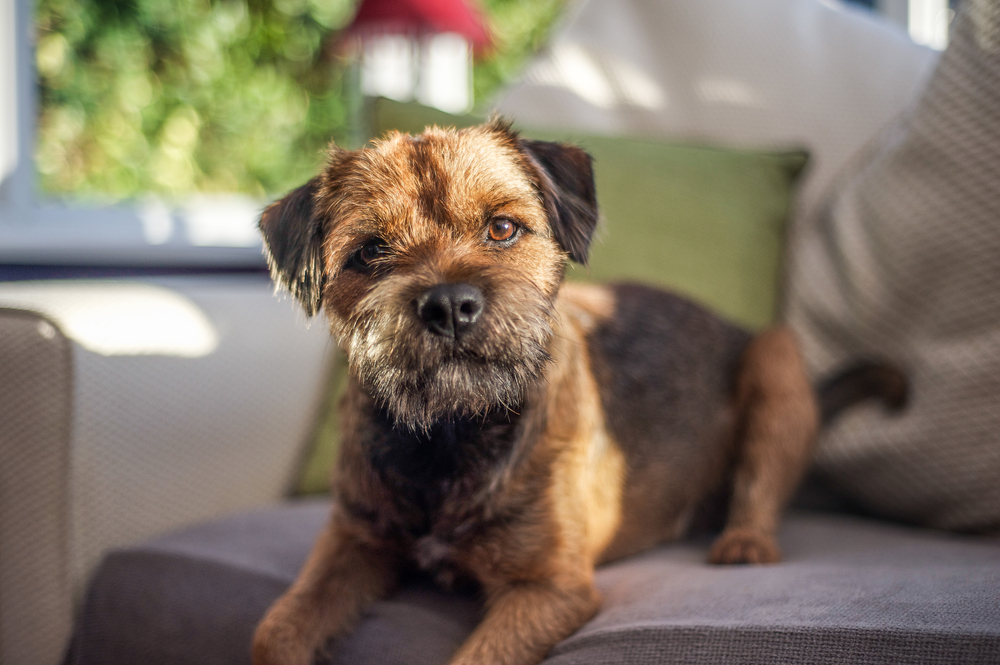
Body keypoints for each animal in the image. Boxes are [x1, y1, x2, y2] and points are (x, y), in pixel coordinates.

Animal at [252, 119, 908, 664]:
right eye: (371, 251)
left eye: (502, 227)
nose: (449, 304)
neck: (450, 435)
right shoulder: (353, 540)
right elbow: (275, 631)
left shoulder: (549, 589)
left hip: (776, 361)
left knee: (760, 489)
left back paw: (742, 541)